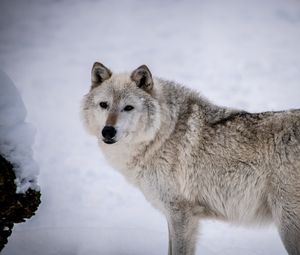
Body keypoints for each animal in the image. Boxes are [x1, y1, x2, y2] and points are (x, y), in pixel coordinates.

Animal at [80, 62, 300, 255]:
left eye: (128, 107)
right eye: (104, 105)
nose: (108, 131)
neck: (161, 135)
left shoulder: (181, 213)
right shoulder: (175, 215)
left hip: (287, 225)